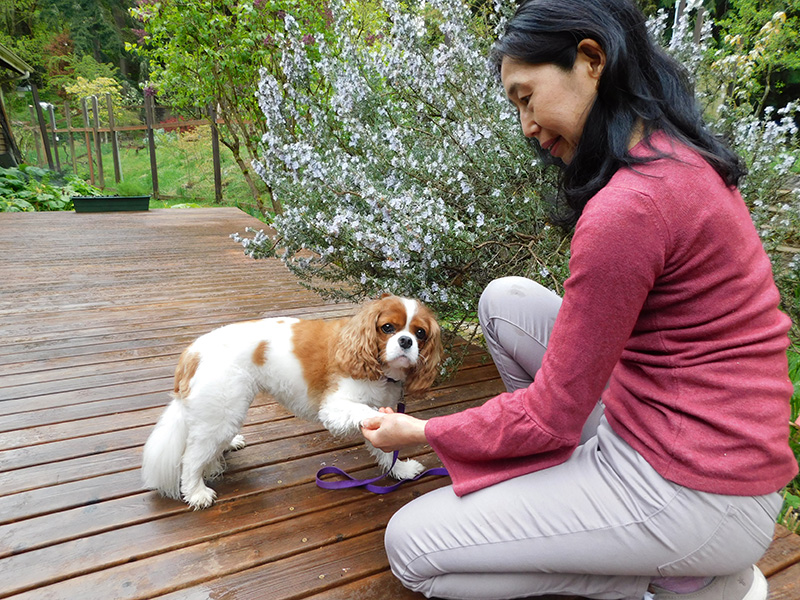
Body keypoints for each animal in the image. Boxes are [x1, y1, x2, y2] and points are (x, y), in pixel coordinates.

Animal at [144, 292, 444, 508]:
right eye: (387, 328)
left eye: (420, 333)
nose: (405, 341)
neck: (381, 371)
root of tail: (192, 353)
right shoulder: (336, 407)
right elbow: (371, 416)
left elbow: (384, 448)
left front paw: (400, 469)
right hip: (221, 409)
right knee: (191, 458)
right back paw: (196, 492)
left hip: (224, 413)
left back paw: (229, 445)